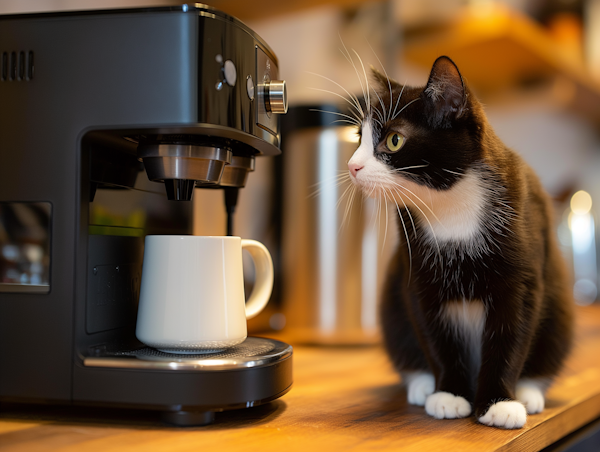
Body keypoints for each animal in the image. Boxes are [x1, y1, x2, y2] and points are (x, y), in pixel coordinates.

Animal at [350, 55, 576, 428]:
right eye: (359, 138)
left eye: (394, 140)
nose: (352, 165)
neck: (451, 210)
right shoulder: (418, 274)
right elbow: (434, 334)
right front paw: (449, 395)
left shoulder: (521, 276)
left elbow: (512, 333)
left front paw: (500, 402)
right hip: (392, 307)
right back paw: (422, 384)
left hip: (559, 310)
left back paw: (528, 392)